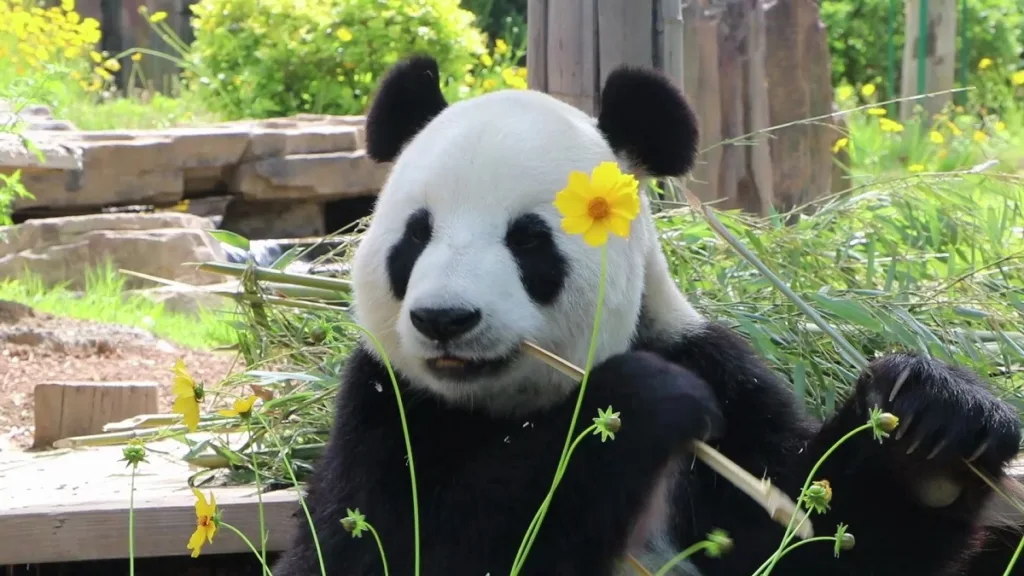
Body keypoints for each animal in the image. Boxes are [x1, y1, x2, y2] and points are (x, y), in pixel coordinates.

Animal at [271, 55, 1022, 576]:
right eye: (415, 236)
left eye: (528, 240)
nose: (444, 319)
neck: (508, 408)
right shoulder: (384, 402)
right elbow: (381, 550)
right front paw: (641, 401)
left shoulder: (718, 371)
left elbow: (822, 537)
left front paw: (934, 421)